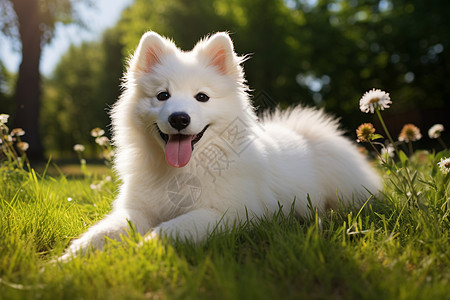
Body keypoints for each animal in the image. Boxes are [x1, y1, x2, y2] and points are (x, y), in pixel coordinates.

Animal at [60, 31, 380, 258]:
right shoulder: (137, 210)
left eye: (202, 97)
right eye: (163, 96)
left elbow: (172, 229)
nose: (179, 118)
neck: (184, 170)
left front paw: (145, 249)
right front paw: (65, 262)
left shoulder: (226, 213)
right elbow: (100, 234)